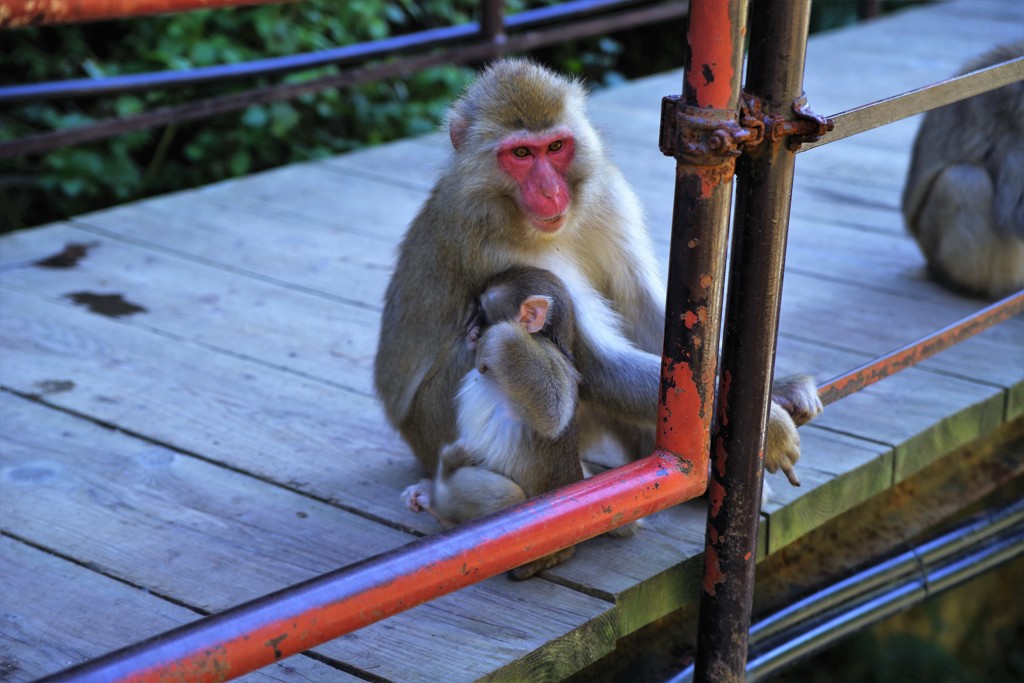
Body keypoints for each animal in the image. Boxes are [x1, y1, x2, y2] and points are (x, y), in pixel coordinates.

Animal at [376, 60, 823, 518]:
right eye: (520, 154)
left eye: (555, 147)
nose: (550, 191)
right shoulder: (492, 249)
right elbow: (587, 355)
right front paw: (770, 426)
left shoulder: (607, 195)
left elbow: (654, 319)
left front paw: (775, 391)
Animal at [403, 266, 589, 577]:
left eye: (480, 311)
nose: (468, 329)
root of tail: (564, 552)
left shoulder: (550, 355)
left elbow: (553, 414)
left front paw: (499, 337)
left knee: (509, 498)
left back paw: (442, 494)